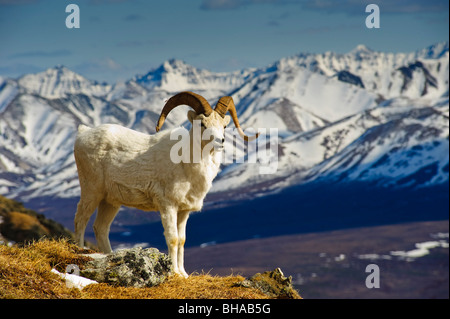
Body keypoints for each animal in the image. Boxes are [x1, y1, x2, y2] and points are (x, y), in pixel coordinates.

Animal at [73, 90, 256, 278]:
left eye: (224, 126)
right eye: (202, 124)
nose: (220, 141)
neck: (186, 165)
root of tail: (82, 133)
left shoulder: (183, 212)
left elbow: (182, 241)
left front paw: (183, 274)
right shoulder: (168, 206)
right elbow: (173, 239)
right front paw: (174, 273)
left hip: (110, 202)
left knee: (100, 228)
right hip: (91, 191)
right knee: (80, 220)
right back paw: (80, 251)